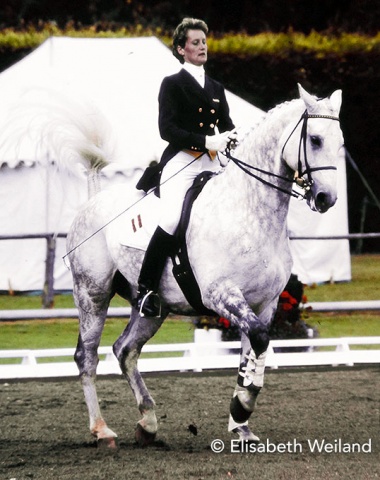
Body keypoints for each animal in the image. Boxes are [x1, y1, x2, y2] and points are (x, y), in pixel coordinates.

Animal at [65, 84, 344, 448]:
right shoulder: (221, 294)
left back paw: (148, 424)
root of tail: (92, 200)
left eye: (340, 142)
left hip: (152, 308)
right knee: (87, 356)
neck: (249, 210)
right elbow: (258, 340)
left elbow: (253, 353)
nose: (326, 199)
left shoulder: (265, 304)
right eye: (315, 139)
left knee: (125, 350)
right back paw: (102, 430)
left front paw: (241, 425)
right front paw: (241, 408)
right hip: (92, 294)